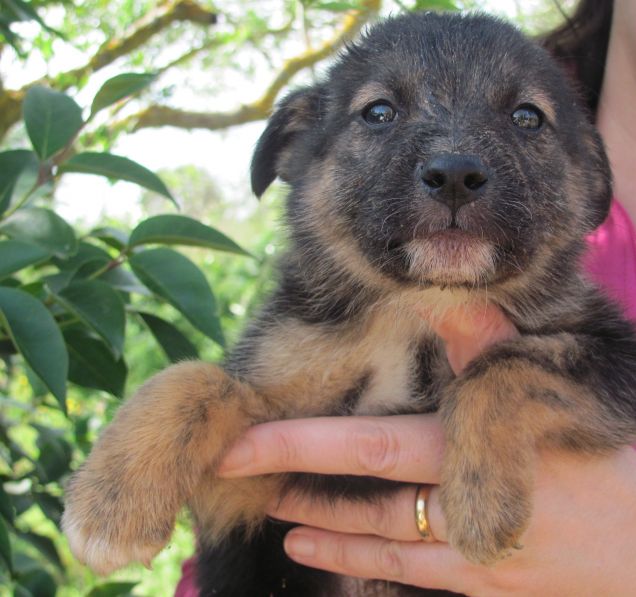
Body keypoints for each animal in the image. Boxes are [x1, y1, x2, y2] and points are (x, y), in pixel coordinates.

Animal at [62, 12, 636, 596]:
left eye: (527, 117)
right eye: (379, 112)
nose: (455, 175)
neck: (414, 311)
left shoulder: (616, 359)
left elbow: (503, 368)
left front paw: (483, 503)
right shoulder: (249, 492)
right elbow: (196, 379)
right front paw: (111, 504)